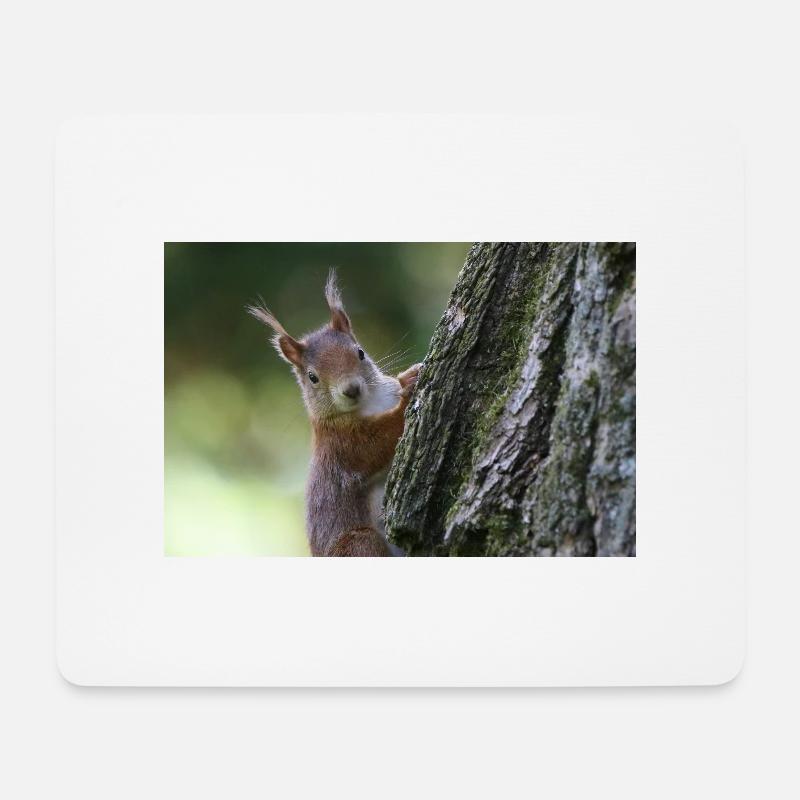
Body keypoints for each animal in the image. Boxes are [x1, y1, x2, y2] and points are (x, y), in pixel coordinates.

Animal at [246, 269, 421, 556]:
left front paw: (408, 376)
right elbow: (376, 444)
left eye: (360, 353)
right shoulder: (341, 444)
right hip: (358, 544)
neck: (372, 401)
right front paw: (408, 396)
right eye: (312, 377)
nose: (351, 389)